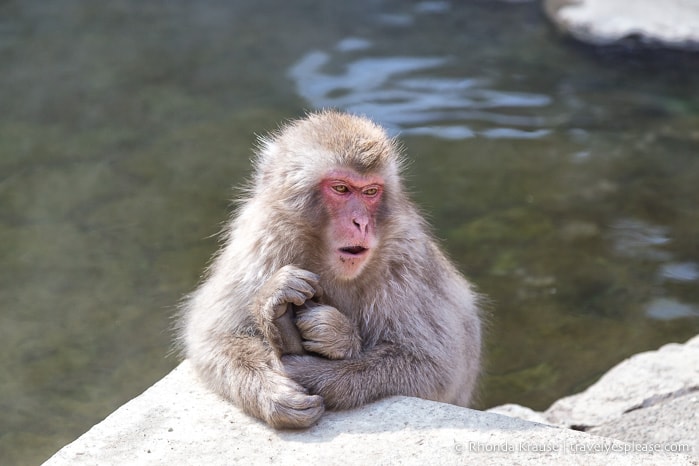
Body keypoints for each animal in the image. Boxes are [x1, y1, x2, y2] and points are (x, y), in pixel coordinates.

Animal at [180, 110, 484, 430]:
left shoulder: (406, 263)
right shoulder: (259, 243)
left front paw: (329, 347)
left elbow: (434, 366)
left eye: (371, 191)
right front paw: (274, 392)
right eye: (341, 188)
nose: (361, 223)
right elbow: (213, 336)